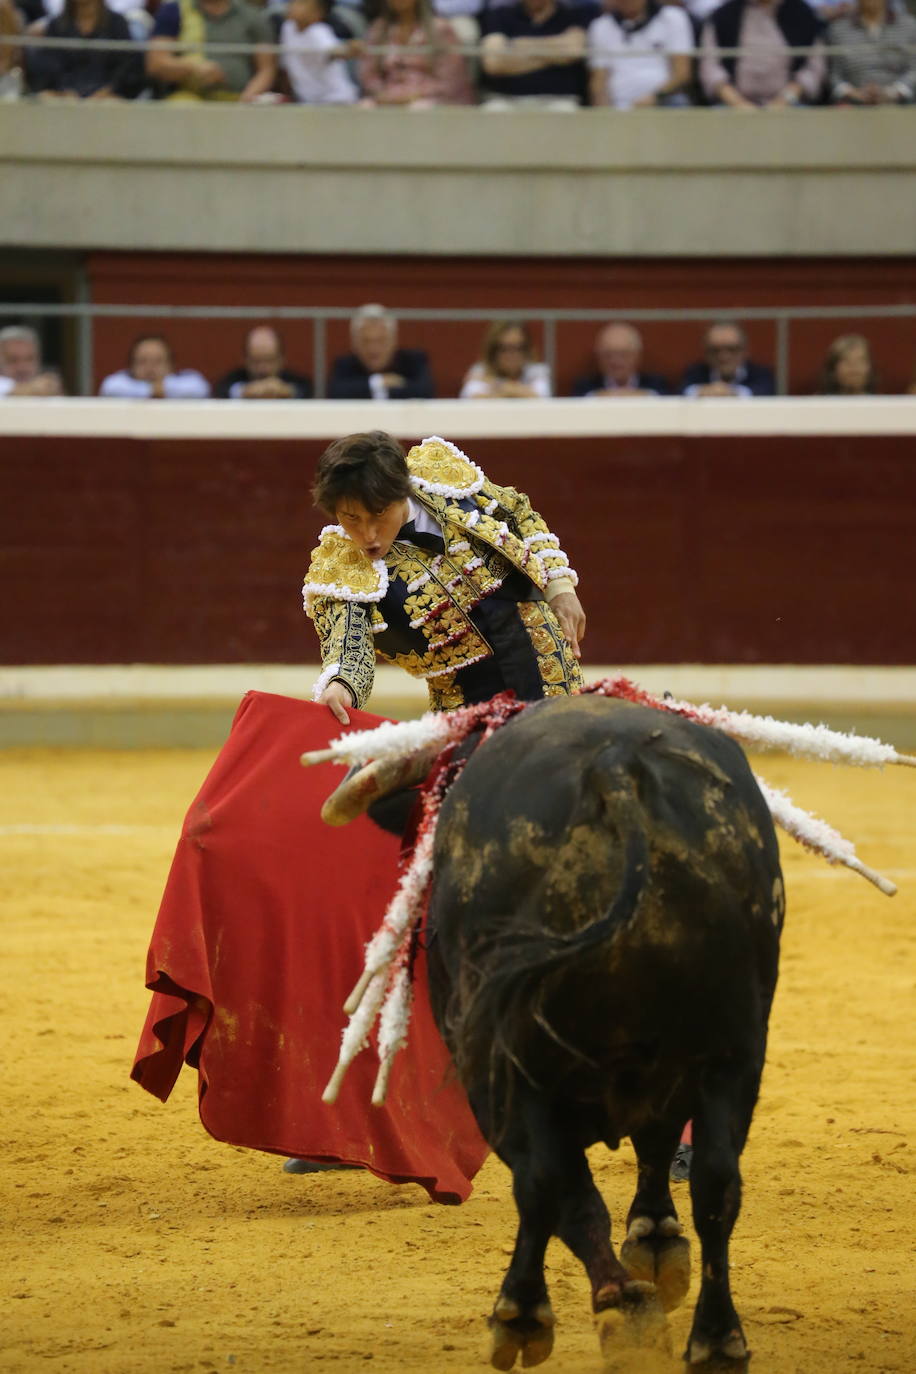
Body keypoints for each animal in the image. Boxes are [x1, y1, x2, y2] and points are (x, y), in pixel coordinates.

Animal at [425, 703, 785, 1368]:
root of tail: (615, 763)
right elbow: (655, 1153)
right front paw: (653, 1248)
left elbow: (562, 1190)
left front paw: (611, 1302)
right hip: (735, 1051)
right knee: (718, 1184)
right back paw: (718, 1339)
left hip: (502, 1061)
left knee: (544, 1181)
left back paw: (526, 1312)